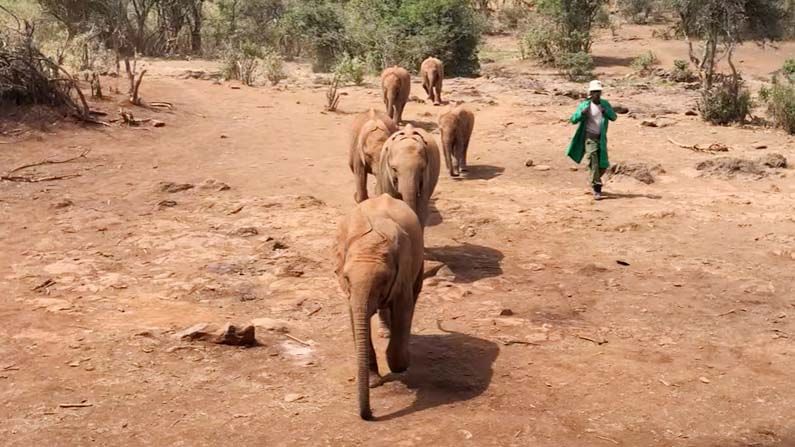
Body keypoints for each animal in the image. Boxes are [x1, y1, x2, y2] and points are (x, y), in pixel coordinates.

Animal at [334, 194, 426, 422]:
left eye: (383, 281)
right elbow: (356, 316)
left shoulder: (403, 271)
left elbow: (404, 308)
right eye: (346, 278)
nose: (371, 414)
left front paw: (402, 364)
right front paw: (374, 382)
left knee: (415, 293)